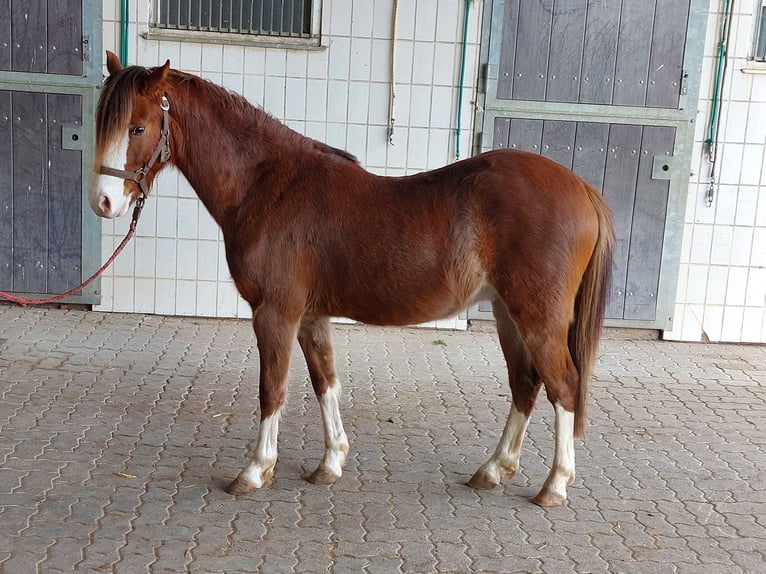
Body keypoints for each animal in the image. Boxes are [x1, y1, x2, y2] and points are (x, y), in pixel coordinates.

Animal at [93, 53, 616, 508]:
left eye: (137, 126)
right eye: (103, 123)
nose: (104, 202)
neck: (266, 186)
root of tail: (582, 188)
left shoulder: (275, 314)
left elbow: (272, 389)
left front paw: (256, 471)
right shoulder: (310, 317)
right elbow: (325, 382)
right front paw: (330, 463)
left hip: (538, 318)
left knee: (564, 386)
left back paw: (554, 485)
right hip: (509, 315)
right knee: (525, 384)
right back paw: (492, 470)